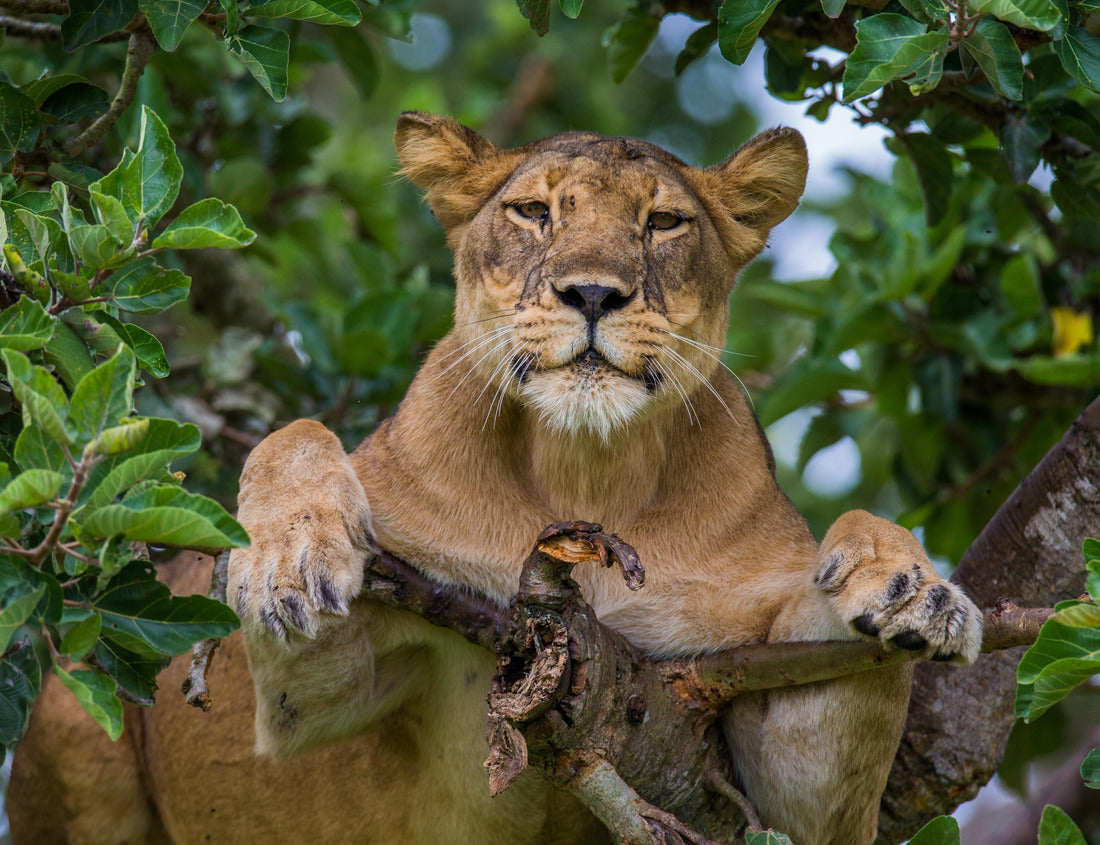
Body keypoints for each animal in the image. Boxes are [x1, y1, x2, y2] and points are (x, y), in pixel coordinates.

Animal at [8, 113, 982, 845]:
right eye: (532, 212)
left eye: (664, 224)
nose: (593, 294)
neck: (587, 470)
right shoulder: (311, 697)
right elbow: (297, 436)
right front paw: (288, 558)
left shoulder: (761, 768)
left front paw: (914, 590)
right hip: (69, 725)